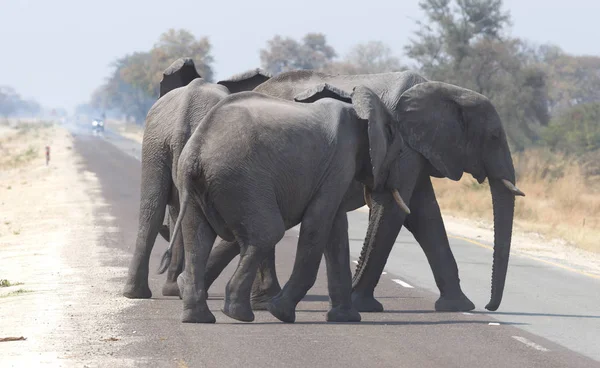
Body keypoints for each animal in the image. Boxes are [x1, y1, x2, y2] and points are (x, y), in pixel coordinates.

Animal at [157, 82, 414, 322]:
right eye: (400, 151)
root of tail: (196, 150)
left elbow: (336, 230)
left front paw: (346, 319)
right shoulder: (340, 160)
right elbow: (317, 224)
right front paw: (280, 313)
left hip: (199, 184)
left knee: (198, 239)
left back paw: (199, 316)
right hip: (241, 179)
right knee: (268, 233)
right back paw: (238, 315)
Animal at [198, 69, 524, 314]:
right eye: (494, 137)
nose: (490, 306)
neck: (446, 90)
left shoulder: (414, 150)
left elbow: (425, 216)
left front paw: (458, 307)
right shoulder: (403, 145)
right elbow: (394, 211)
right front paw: (361, 304)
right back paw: (261, 303)